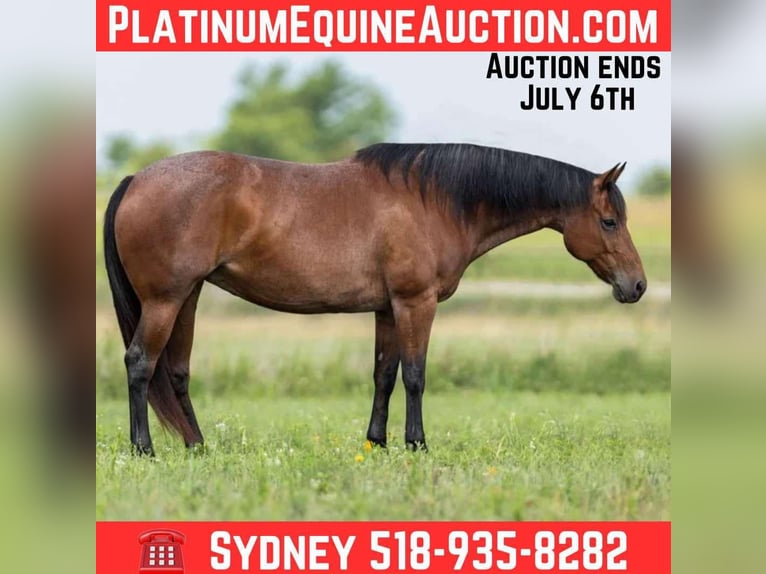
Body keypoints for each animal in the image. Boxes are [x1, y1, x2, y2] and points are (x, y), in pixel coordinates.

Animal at [103, 143, 646, 455]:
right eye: (609, 221)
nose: (636, 285)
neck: (432, 201)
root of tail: (136, 179)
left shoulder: (387, 308)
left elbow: (384, 374)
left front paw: (377, 443)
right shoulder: (415, 302)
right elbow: (415, 375)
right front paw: (417, 444)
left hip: (187, 296)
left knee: (175, 371)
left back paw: (198, 446)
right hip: (165, 300)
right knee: (140, 363)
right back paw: (144, 449)